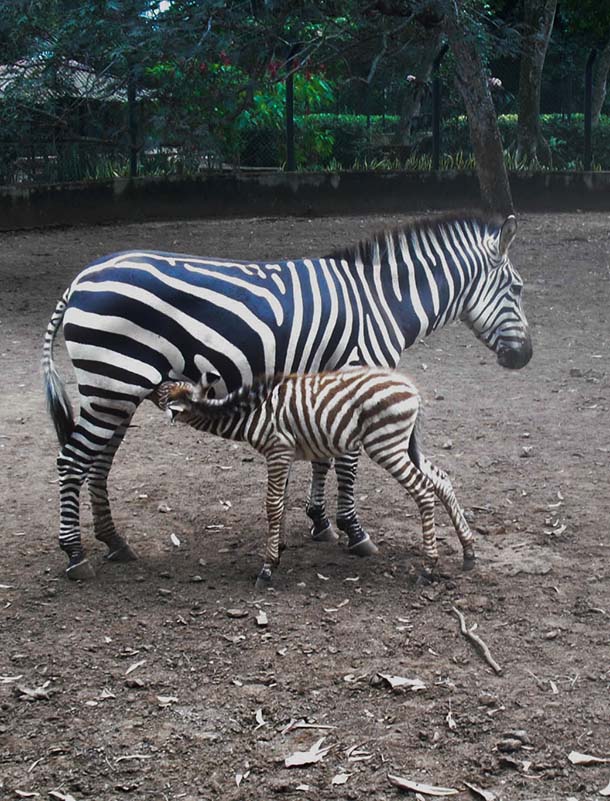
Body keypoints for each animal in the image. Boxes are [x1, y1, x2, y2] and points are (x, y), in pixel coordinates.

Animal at [163, 366, 476, 584]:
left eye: (160, 391)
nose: (154, 382)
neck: (250, 413)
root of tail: (412, 389)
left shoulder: (278, 449)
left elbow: (272, 505)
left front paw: (267, 567)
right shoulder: (284, 454)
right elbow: (282, 501)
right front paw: (279, 548)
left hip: (386, 445)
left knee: (423, 490)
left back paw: (428, 567)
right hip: (405, 445)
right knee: (442, 480)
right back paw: (469, 552)